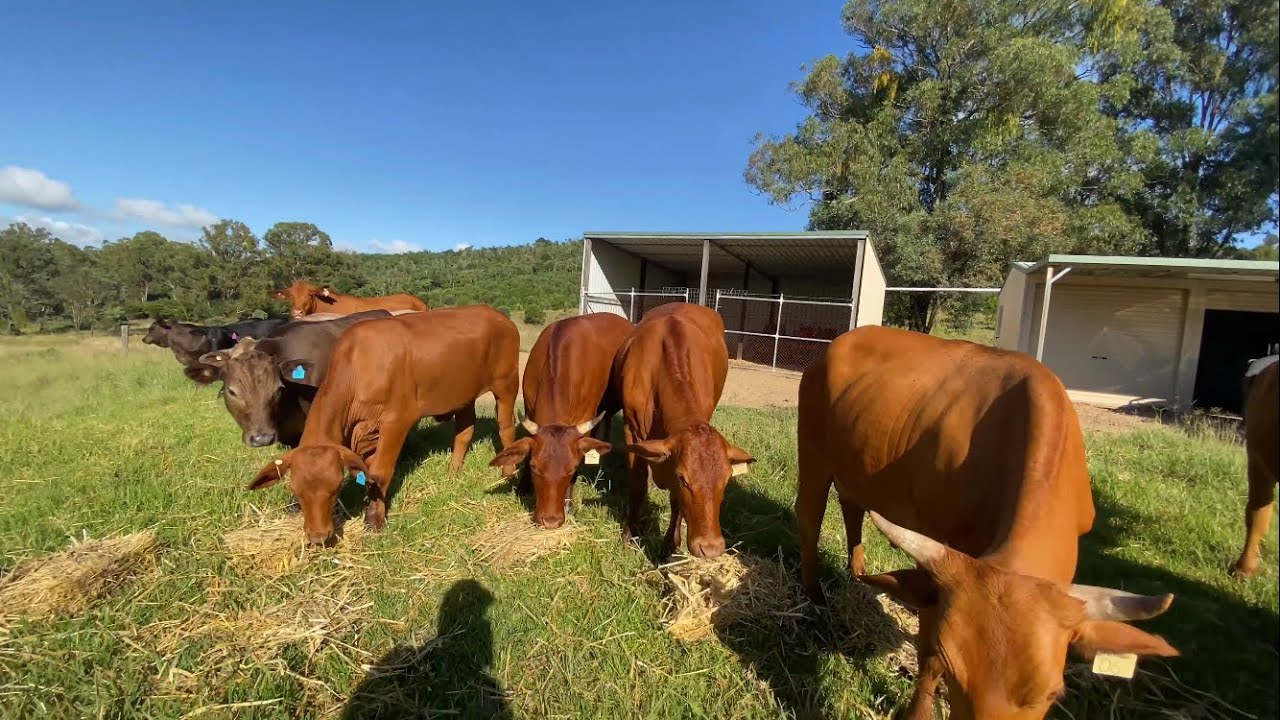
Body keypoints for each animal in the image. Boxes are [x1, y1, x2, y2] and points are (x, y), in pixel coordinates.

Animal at [245, 306, 521, 544]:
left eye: (335, 489)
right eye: (296, 491)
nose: (319, 537)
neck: (358, 368)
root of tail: (496, 315)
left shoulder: (397, 420)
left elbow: (379, 471)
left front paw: (374, 520)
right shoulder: (366, 431)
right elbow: (368, 472)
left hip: (506, 384)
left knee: (505, 427)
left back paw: (508, 472)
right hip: (462, 392)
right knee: (465, 429)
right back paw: (453, 471)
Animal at [487, 313, 632, 528]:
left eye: (572, 468)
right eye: (534, 466)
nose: (550, 520)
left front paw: (569, 504)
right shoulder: (530, 408)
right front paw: (523, 487)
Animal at [613, 303, 754, 559]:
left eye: (727, 479)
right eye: (683, 478)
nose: (710, 548)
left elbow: (675, 499)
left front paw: (670, 545)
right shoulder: (631, 428)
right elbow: (637, 485)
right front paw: (630, 533)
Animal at [796, 326, 1177, 720]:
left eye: (1053, 693)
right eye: (953, 673)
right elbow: (927, 653)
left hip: (856, 465)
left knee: (852, 507)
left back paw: (857, 571)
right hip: (813, 453)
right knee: (809, 516)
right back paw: (814, 592)